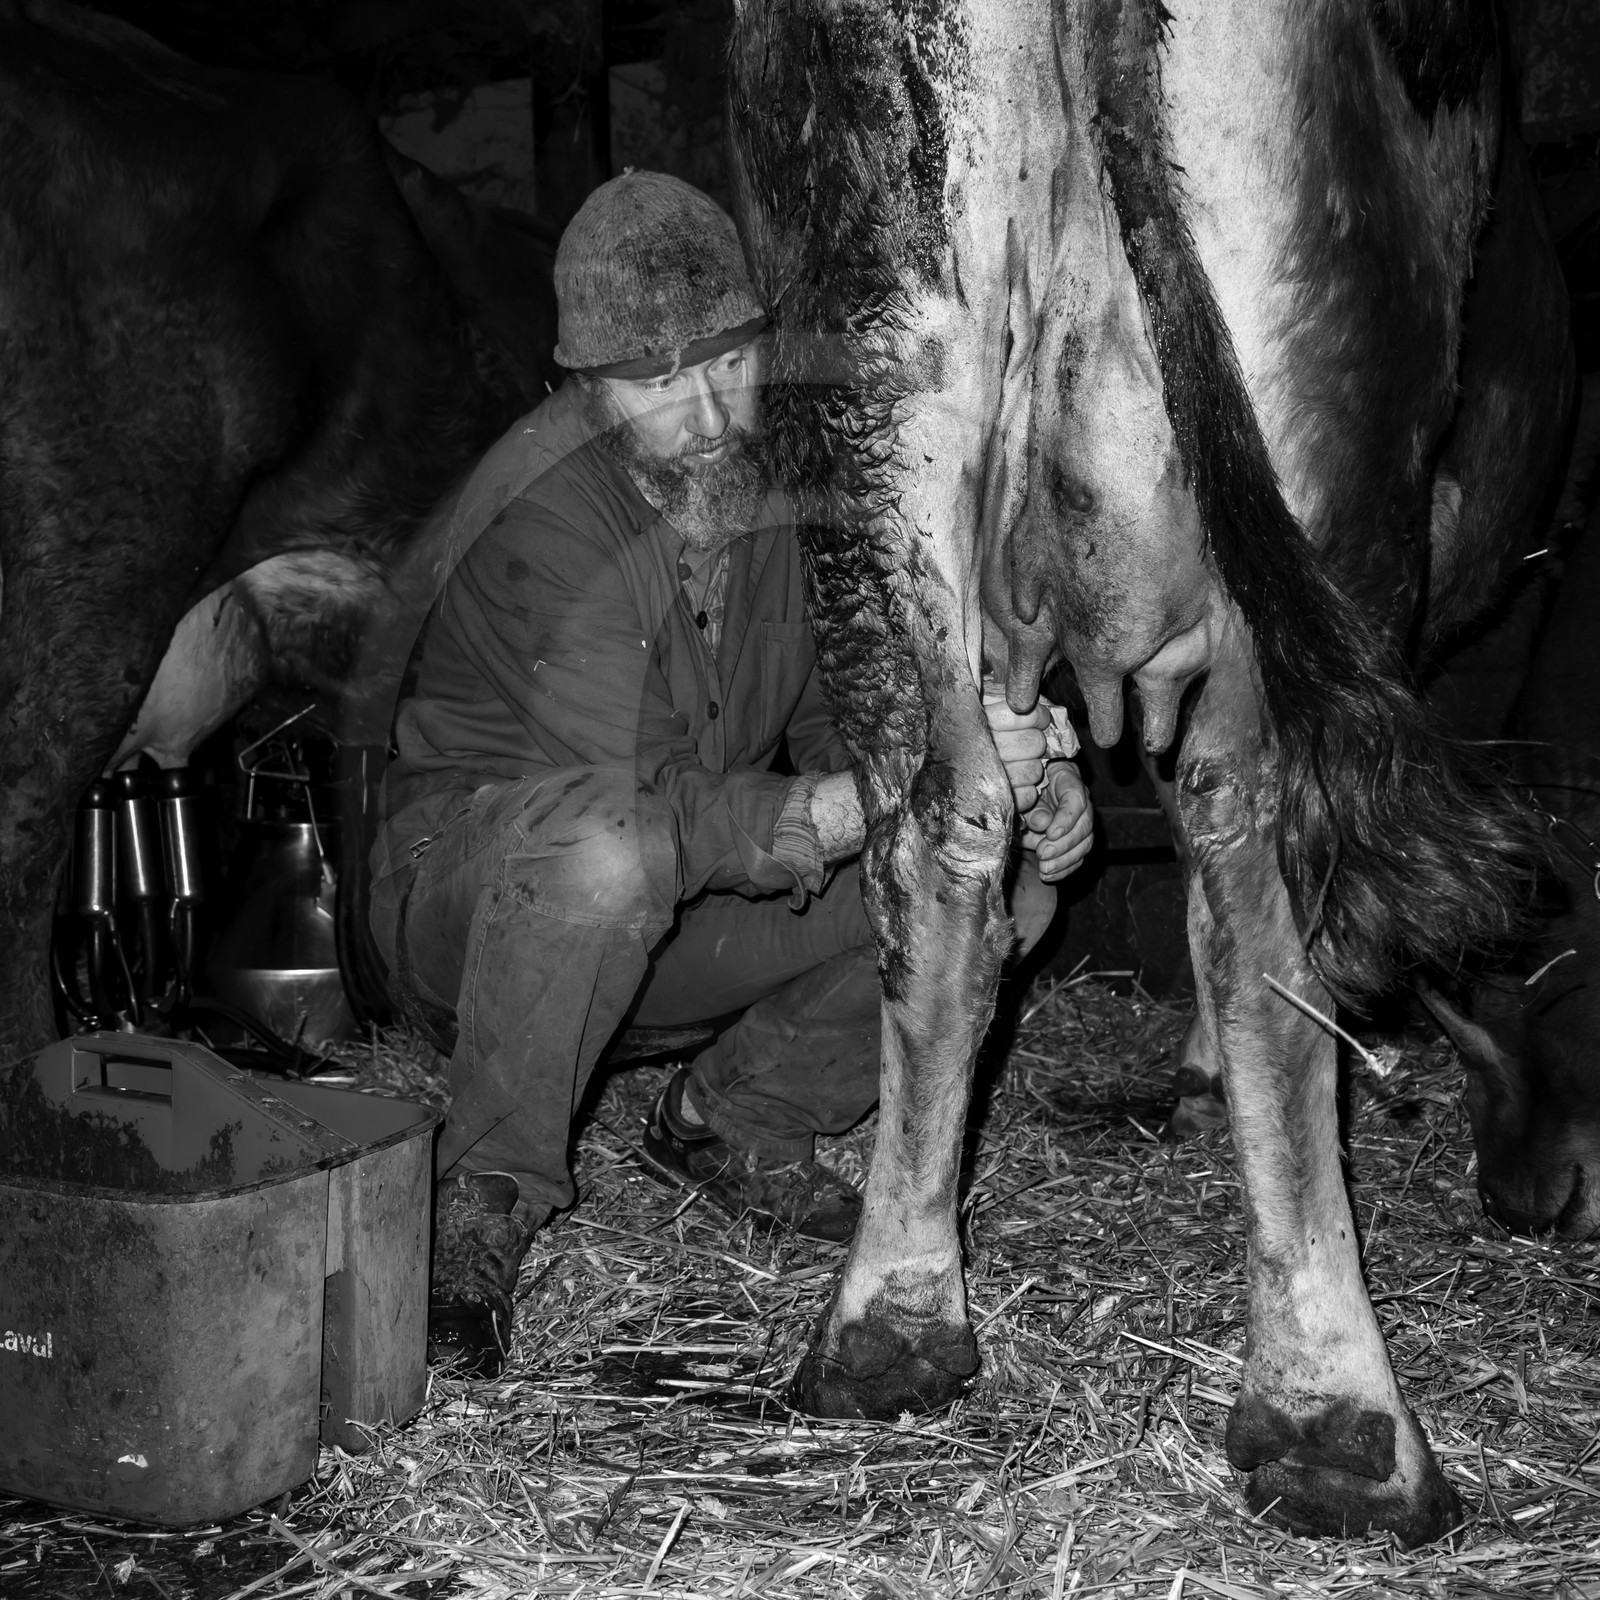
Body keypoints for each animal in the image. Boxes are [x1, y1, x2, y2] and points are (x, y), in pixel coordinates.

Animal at [728, 0, 1570, 1546]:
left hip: (881, 381)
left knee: (939, 836)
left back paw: (887, 1329)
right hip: (1321, 435)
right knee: (1259, 882)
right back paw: (1338, 1422)